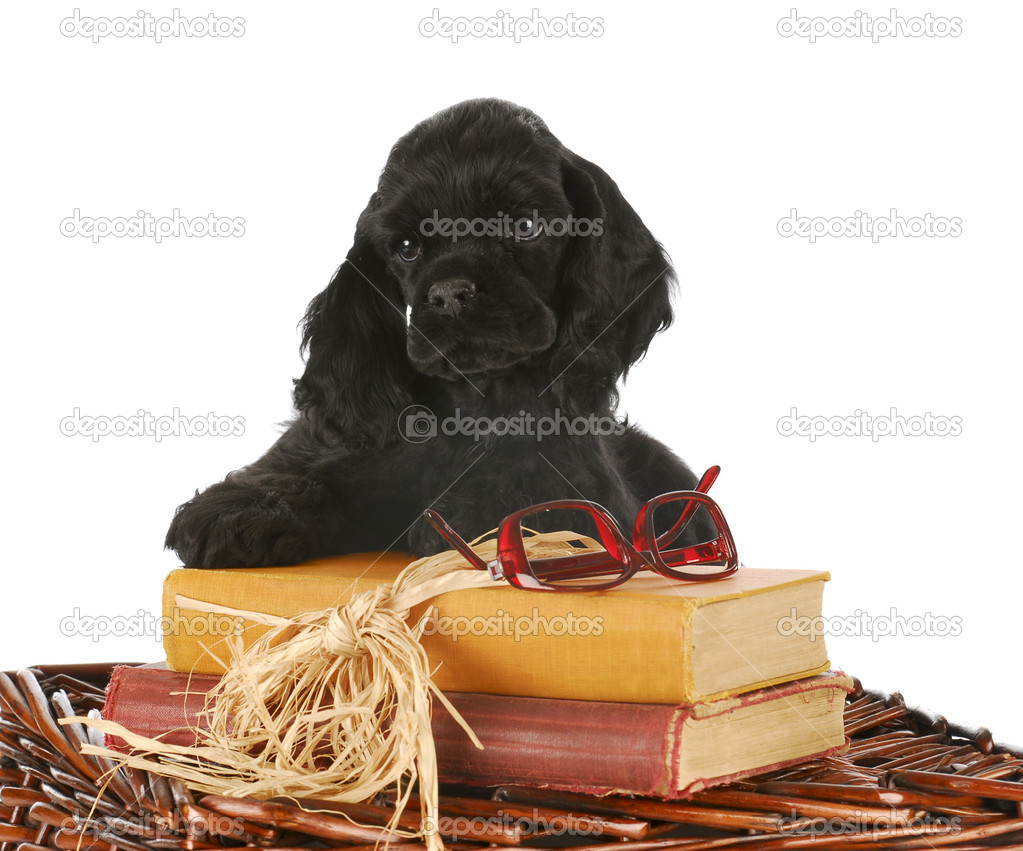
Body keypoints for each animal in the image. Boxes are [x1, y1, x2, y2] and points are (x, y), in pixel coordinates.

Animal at [165, 96, 712, 568]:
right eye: (408, 248)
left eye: (525, 227)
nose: (450, 293)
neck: (467, 404)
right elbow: (307, 466)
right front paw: (243, 509)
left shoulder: (583, 484)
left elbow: (527, 488)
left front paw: (465, 516)